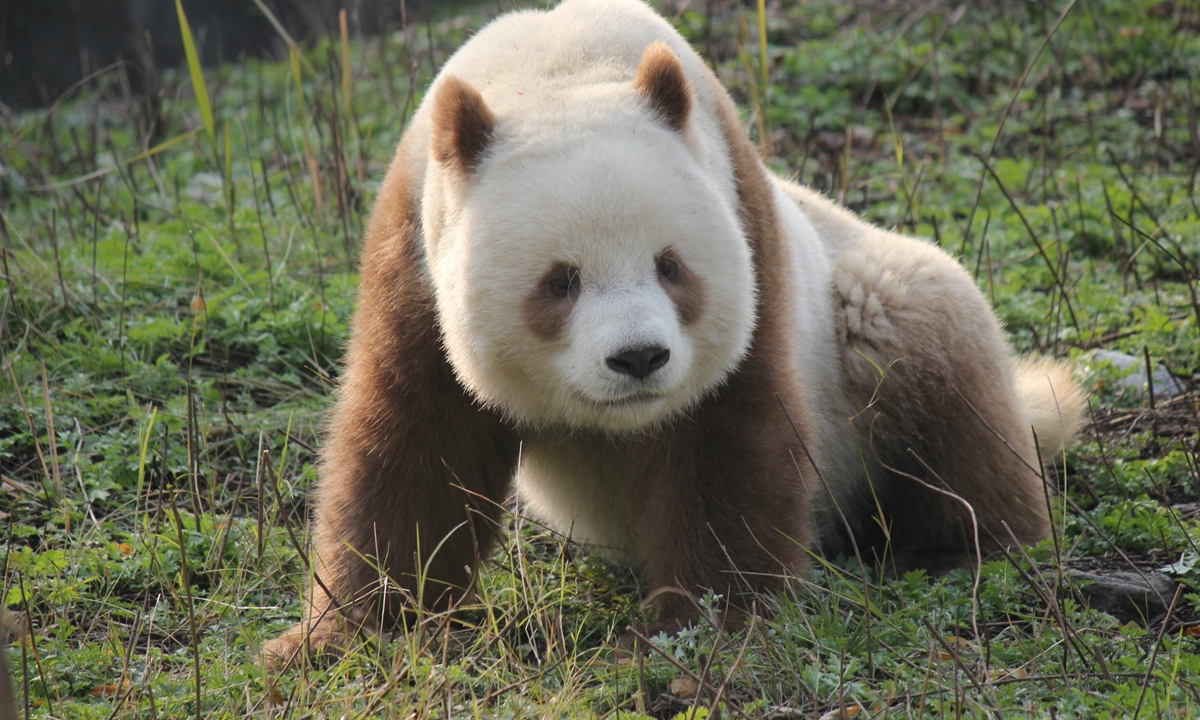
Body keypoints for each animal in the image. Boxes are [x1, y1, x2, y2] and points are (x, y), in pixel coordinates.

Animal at [262, 0, 1083, 667]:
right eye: (560, 281)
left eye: (670, 266)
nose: (638, 358)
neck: (557, 70)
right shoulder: (414, 253)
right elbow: (415, 449)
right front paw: (338, 638)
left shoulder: (744, 224)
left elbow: (725, 439)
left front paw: (693, 631)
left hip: (866, 311)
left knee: (924, 347)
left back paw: (958, 548)